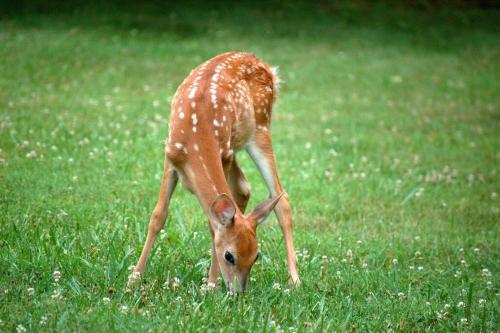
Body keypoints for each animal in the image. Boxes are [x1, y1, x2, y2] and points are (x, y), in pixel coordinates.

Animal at [130, 50, 300, 290]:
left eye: (256, 256)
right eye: (229, 256)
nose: (238, 292)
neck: (196, 139)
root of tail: (263, 63)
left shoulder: (223, 155)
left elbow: (212, 226)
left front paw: (211, 284)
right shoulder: (170, 156)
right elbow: (158, 216)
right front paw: (134, 278)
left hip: (260, 127)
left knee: (280, 198)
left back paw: (295, 279)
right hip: (238, 143)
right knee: (244, 188)